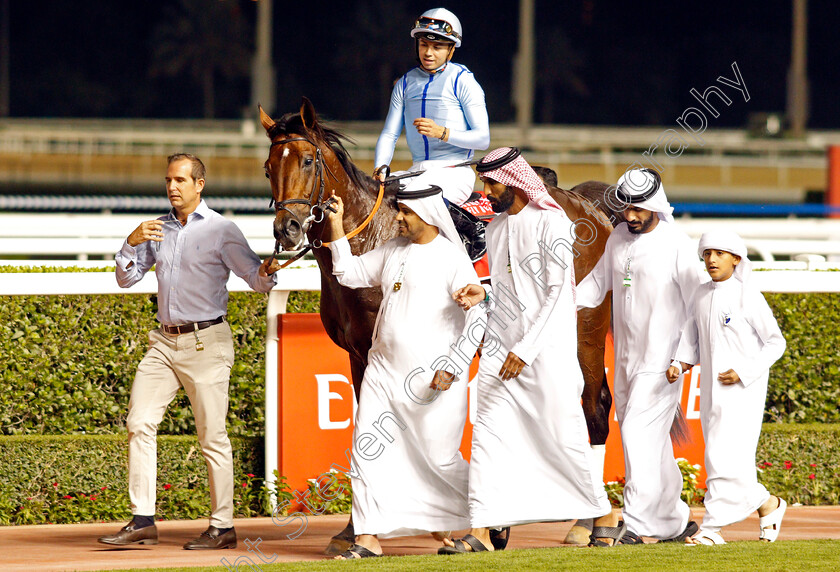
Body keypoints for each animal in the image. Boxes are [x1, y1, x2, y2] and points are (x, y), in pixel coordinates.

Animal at [260, 99, 612, 556]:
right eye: (268, 166)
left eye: (306, 159)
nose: (286, 229)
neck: (370, 236)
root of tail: (589, 207)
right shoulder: (358, 355)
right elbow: (363, 429)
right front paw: (355, 531)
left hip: (584, 329)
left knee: (594, 408)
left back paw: (593, 523)